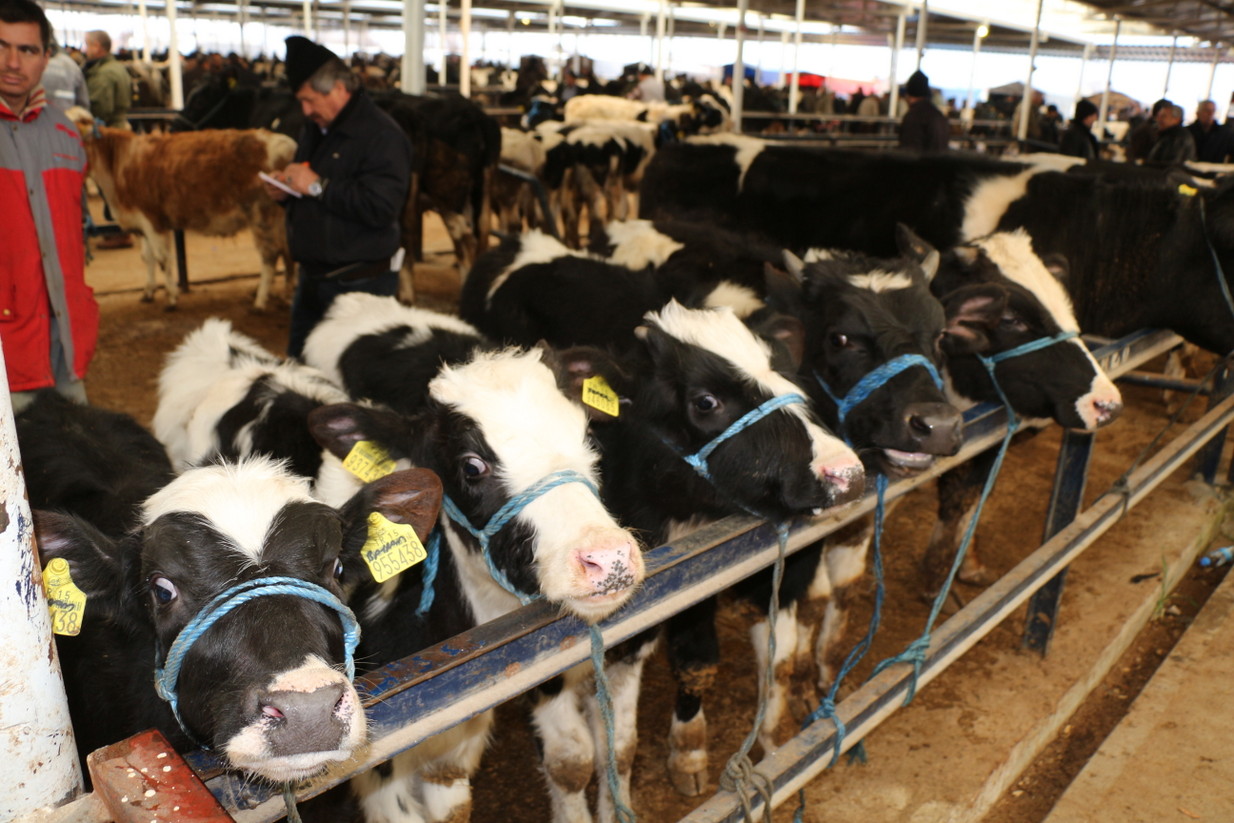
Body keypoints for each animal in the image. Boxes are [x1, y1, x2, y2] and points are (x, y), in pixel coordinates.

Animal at [70, 115, 295, 311]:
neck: (120, 165)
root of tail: (283, 143)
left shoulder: (153, 220)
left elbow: (162, 259)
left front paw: (171, 299)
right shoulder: (142, 224)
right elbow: (147, 257)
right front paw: (148, 292)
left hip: (261, 216)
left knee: (270, 256)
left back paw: (260, 302)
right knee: (288, 253)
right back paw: (286, 296)